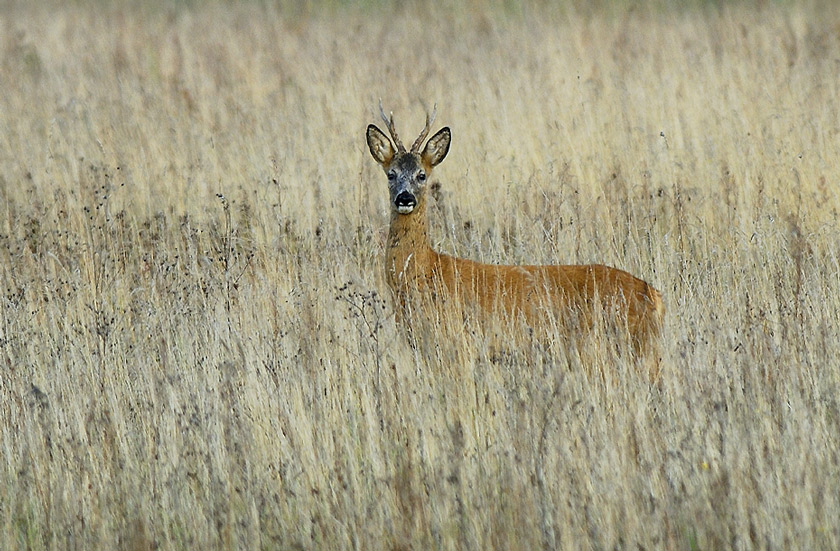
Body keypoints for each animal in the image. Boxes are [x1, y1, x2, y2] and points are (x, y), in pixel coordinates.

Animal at [364, 105, 668, 366]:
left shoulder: (455, 345)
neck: (425, 270)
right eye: (391, 174)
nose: (405, 198)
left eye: (422, 175)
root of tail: (655, 296)